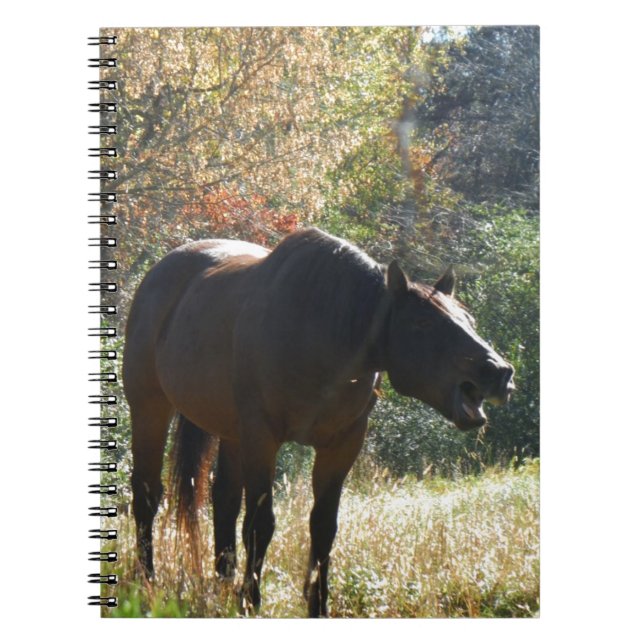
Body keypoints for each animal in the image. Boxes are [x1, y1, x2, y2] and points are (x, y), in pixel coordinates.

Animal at [123, 227, 515, 617]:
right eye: (422, 322)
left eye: (469, 321)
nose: (499, 373)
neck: (320, 331)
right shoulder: (262, 438)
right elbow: (260, 524)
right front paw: (250, 600)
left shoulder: (341, 445)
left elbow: (323, 527)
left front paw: (318, 604)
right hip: (150, 409)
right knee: (147, 494)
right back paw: (147, 581)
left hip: (231, 433)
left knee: (224, 501)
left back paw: (222, 583)